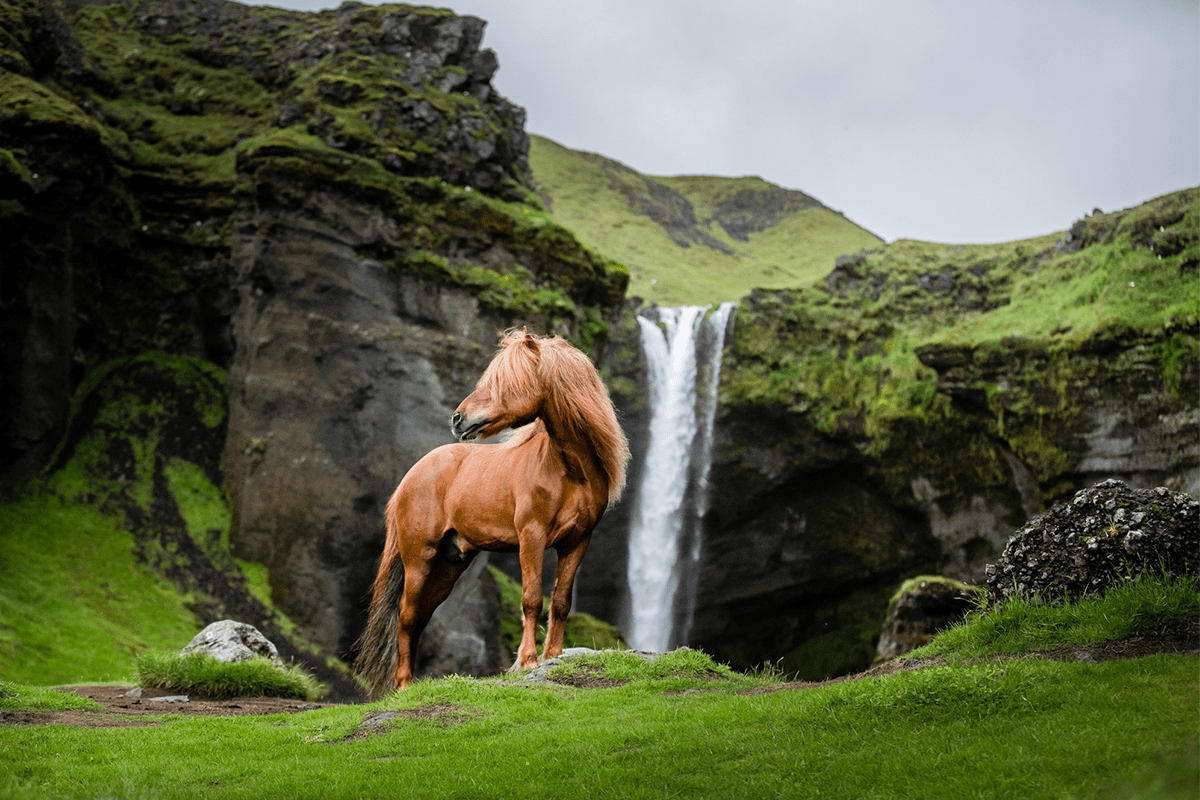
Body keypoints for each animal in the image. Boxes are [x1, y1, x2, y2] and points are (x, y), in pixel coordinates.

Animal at [354, 328, 630, 698]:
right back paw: (403, 685)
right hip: (418, 559)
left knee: (421, 616)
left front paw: (553, 656)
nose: (457, 419)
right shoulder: (532, 537)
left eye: (505, 382)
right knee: (406, 615)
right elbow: (532, 599)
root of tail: (410, 477)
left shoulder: (577, 542)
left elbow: (560, 601)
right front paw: (527, 661)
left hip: (449, 565)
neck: (570, 471)